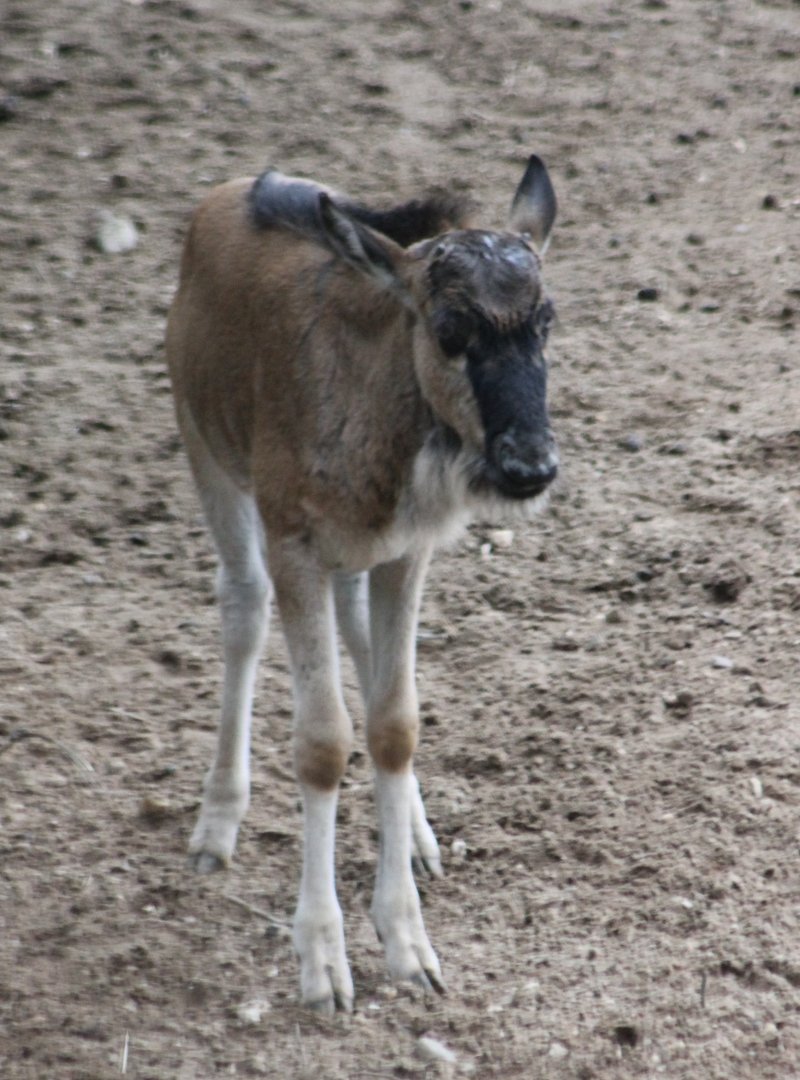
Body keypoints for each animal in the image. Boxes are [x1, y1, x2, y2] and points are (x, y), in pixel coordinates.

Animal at [165, 154, 559, 1013]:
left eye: (547, 321)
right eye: (450, 332)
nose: (530, 463)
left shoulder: (406, 551)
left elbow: (393, 722)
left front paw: (409, 943)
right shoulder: (296, 545)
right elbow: (322, 743)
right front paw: (322, 960)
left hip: (355, 557)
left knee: (357, 640)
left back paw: (417, 838)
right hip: (204, 446)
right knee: (241, 605)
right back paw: (216, 826)